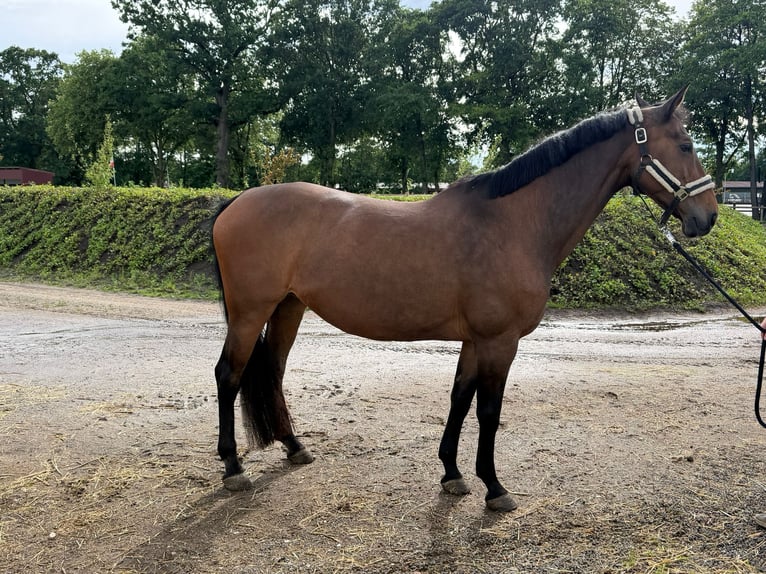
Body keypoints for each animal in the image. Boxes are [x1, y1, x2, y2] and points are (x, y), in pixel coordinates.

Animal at [211, 86, 717, 512]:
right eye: (686, 145)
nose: (708, 216)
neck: (512, 224)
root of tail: (235, 202)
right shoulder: (499, 341)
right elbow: (489, 412)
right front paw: (494, 487)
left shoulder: (475, 341)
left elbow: (459, 399)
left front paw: (452, 474)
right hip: (250, 312)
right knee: (229, 374)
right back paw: (233, 467)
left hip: (288, 307)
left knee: (273, 371)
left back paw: (294, 447)